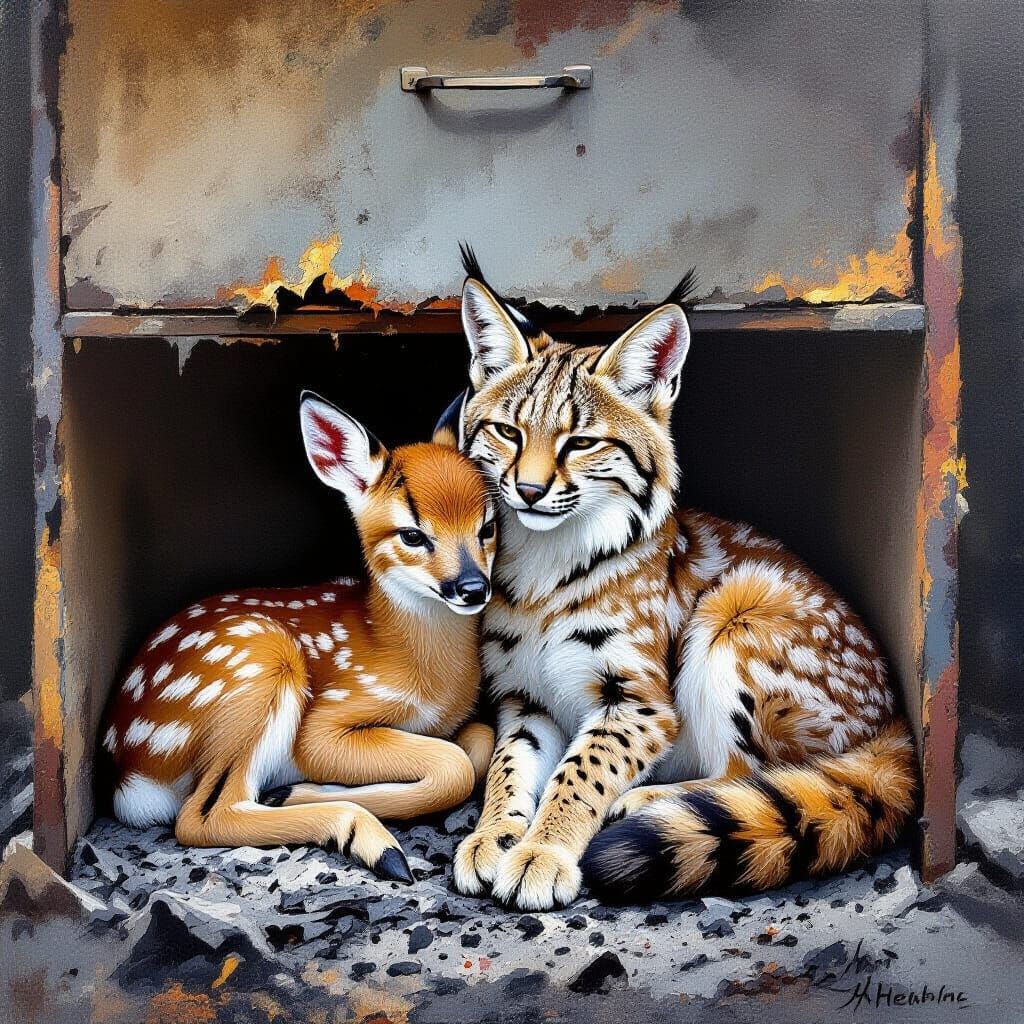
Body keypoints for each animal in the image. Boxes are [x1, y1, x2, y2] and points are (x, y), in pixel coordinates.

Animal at [100, 391, 496, 882]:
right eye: (412, 534)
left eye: (487, 527)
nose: (473, 587)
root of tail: (126, 772)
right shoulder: (328, 720)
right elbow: (453, 765)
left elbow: (480, 741)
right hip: (261, 664)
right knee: (204, 816)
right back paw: (374, 843)